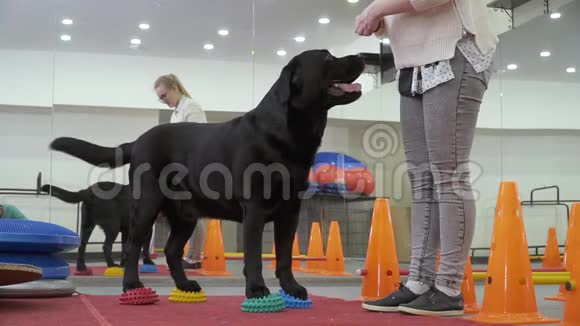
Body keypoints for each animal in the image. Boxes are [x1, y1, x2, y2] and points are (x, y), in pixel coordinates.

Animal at [48, 49, 362, 300]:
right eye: (327, 58)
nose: (362, 56)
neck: (288, 131)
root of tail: (137, 142)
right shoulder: (255, 209)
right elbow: (254, 256)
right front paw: (257, 289)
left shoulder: (291, 211)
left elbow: (284, 255)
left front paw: (291, 288)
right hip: (146, 207)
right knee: (133, 248)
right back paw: (132, 284)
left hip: (185, 216)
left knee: (172, 251)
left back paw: (185, 284)